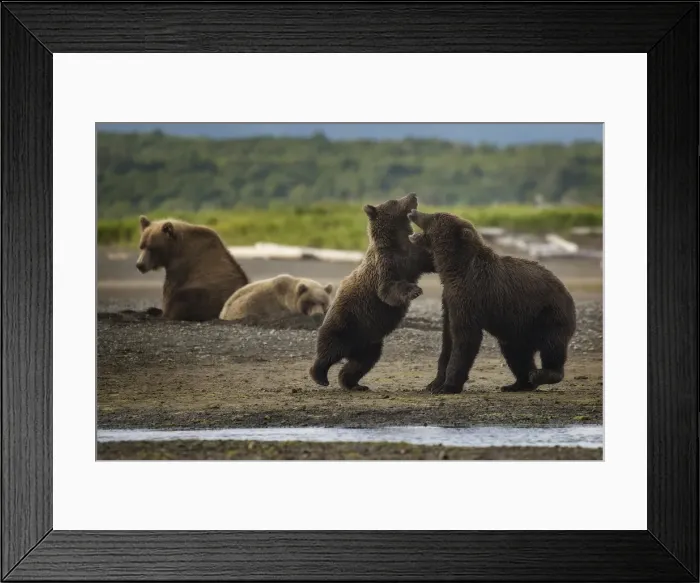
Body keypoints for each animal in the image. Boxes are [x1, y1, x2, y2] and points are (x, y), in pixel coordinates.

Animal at [308, 193, 435, 391]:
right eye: (393, 200)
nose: (413, 195)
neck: (396, 242)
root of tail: (352, 348)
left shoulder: (413, 257)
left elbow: (429, 260)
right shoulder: (385, 265)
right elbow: (389, 288)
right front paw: (414, 290)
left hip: (370, 342)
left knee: (360, 363)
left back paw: (353, 384)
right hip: (346, 322)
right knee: (329, 349)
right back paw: (319, 375)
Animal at [407, 209, 577, 394]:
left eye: (435, 216)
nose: (413, 211)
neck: (453, 270)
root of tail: (565, 289)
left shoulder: (470, 296)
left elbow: (465, 338)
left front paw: (448, 386)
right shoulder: (449, 299)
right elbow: (448, 338)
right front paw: (433, 384)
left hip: (547, 314)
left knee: (551, 346)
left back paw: (540, 374)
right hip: (517, 328)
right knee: (516, 353)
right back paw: (517, 384)